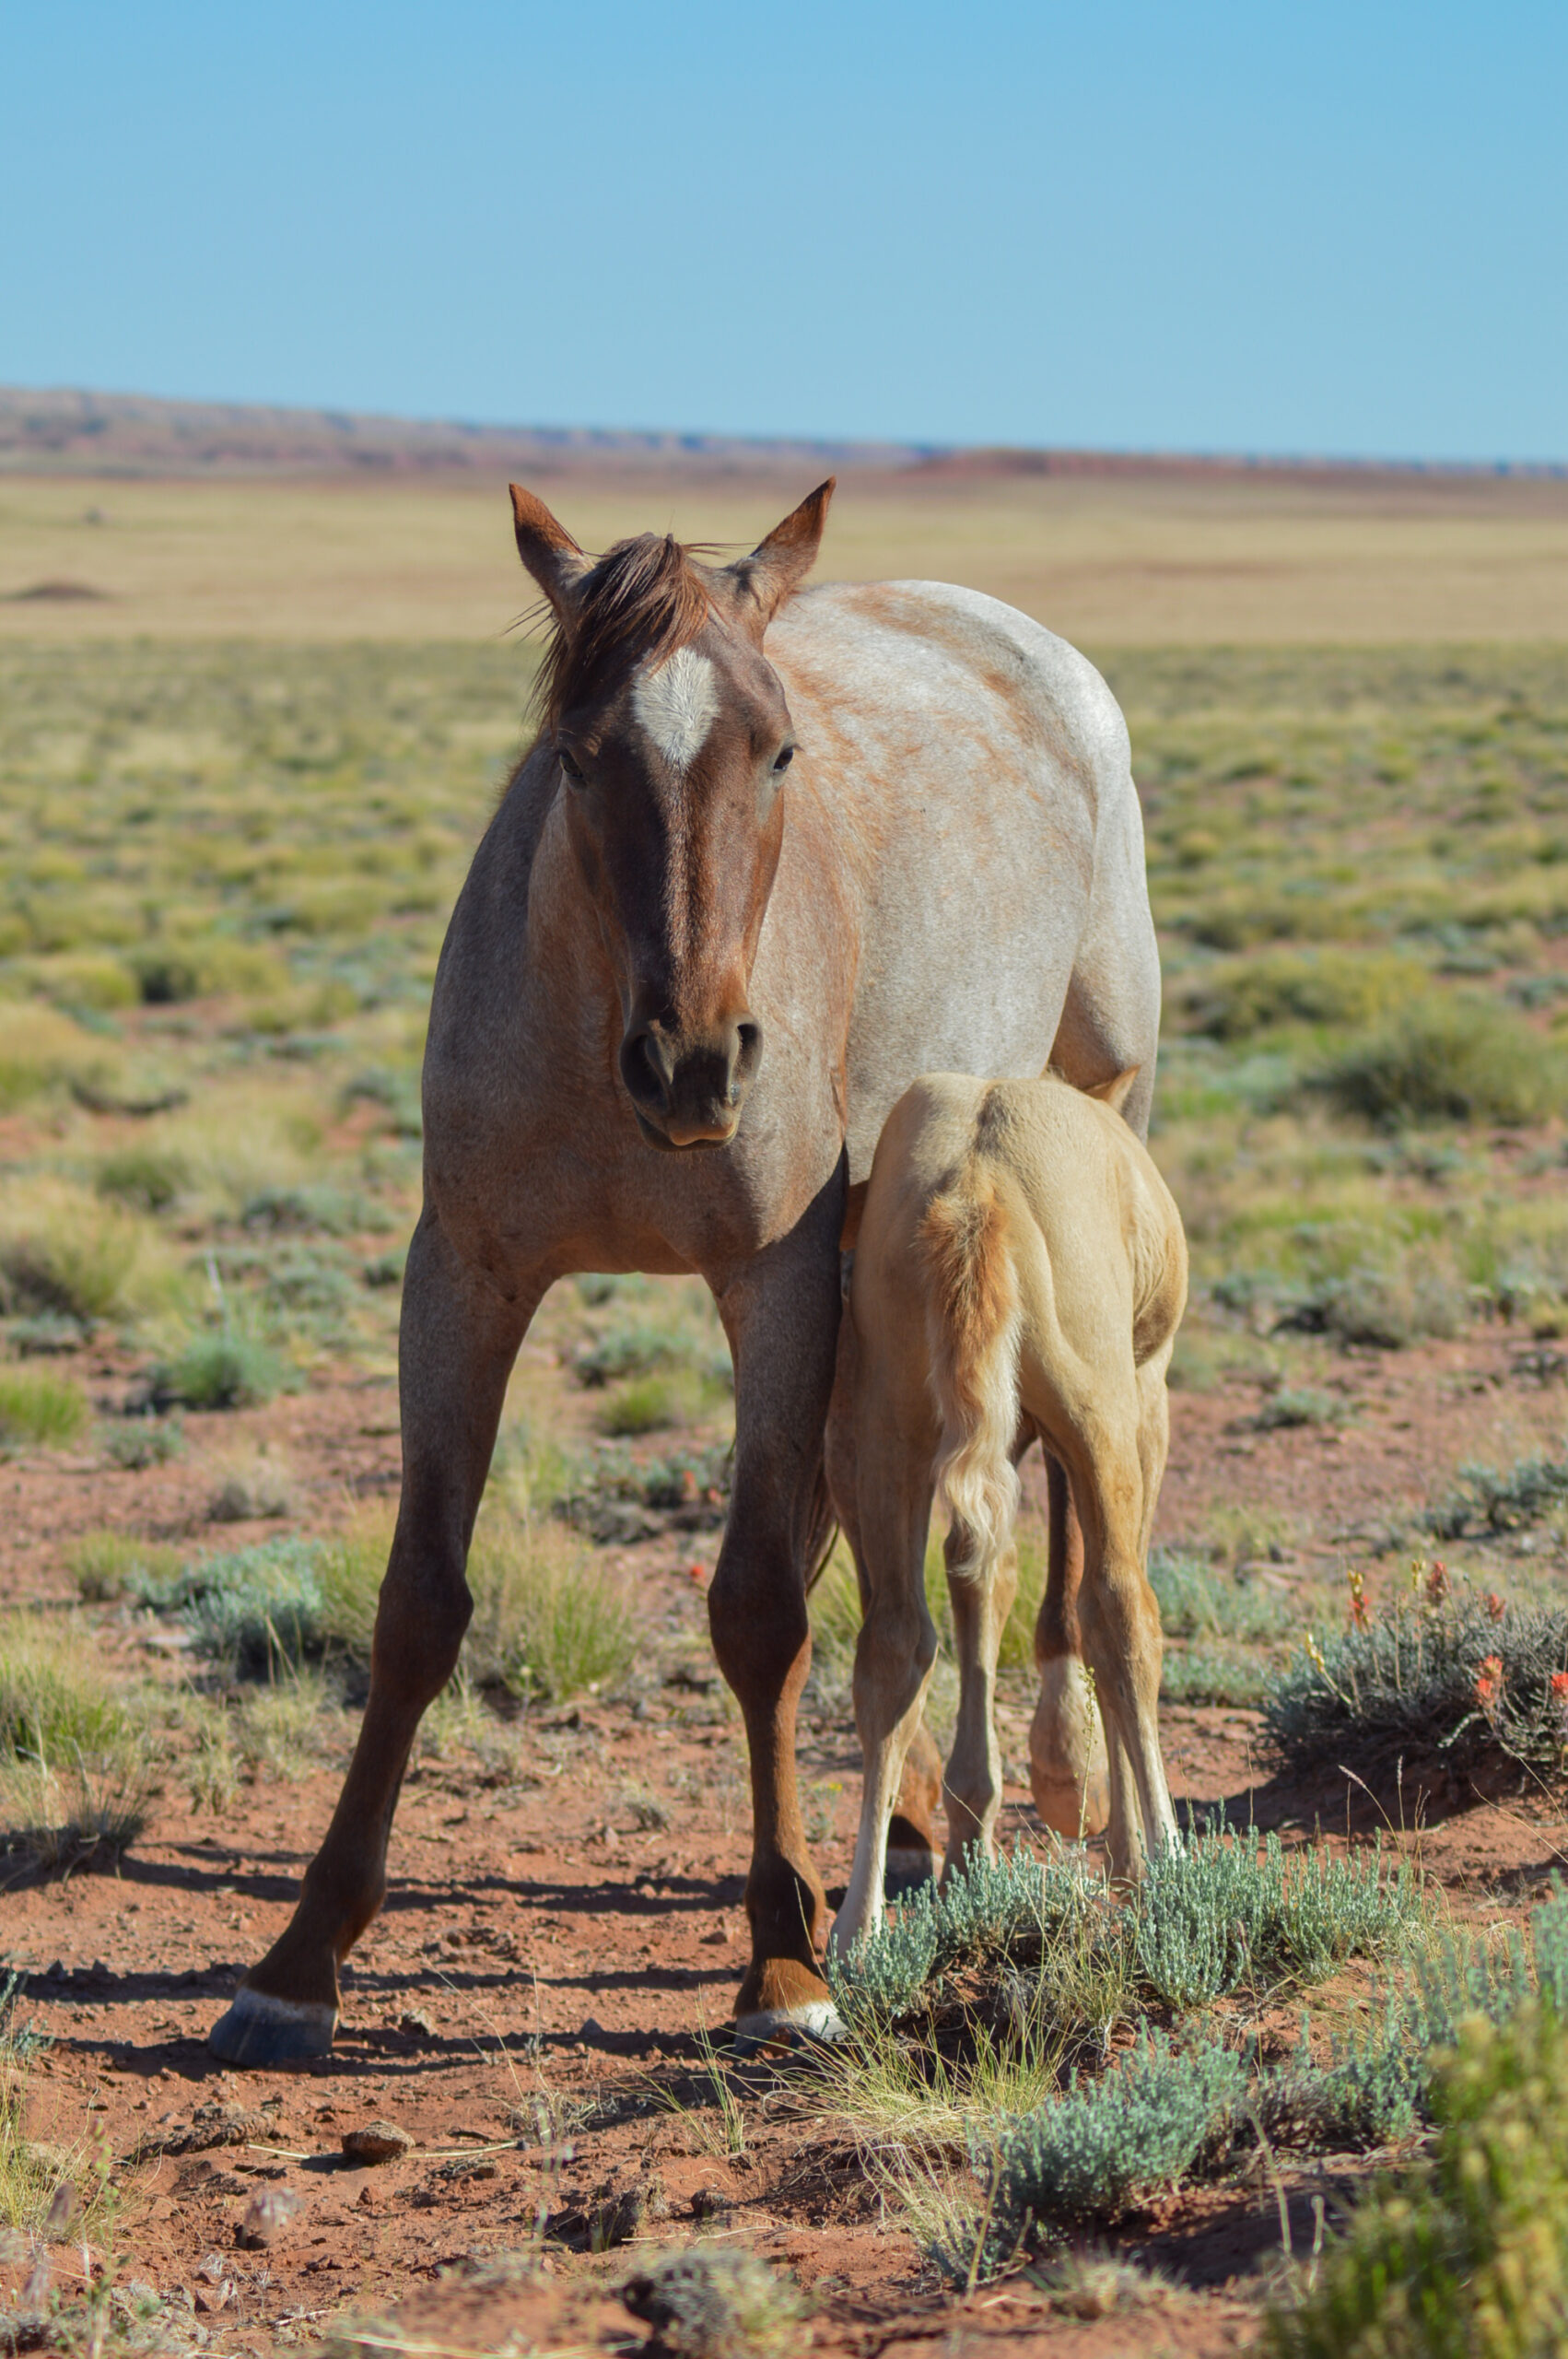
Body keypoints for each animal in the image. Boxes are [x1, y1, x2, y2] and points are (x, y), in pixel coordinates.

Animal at [825, 1069, 1187, 1958]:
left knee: (896, 1642)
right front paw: (1121, 1850)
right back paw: (1170, 1865)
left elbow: (980, 1588)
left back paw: (857, 1928)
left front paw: (974, 1849)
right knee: (1121, 1609)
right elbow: (1096, 1613)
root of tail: (975, 1189)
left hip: (890, 1430)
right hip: (1103, 1414)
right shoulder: (1143, 1398)